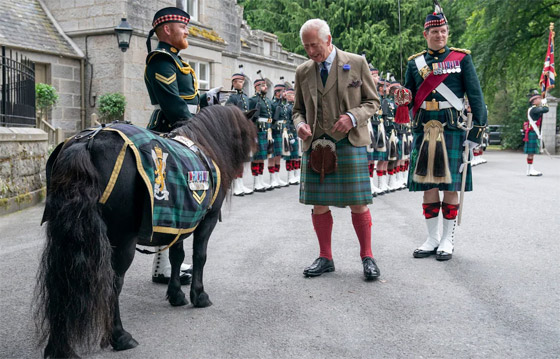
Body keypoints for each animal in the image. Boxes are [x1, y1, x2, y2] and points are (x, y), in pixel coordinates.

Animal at [36, 105, 260, 358]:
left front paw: (176, 294)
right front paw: (199, 295)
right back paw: (120, 336)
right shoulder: (206, 221)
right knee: (113, 284)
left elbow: (177, 256)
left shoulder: (179, 219)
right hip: (122, 241)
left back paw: (58, 346)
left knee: (59, 282)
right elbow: (199, 257)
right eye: (251, 130)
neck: (206, 145)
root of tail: (87, 142)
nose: (253, 155)